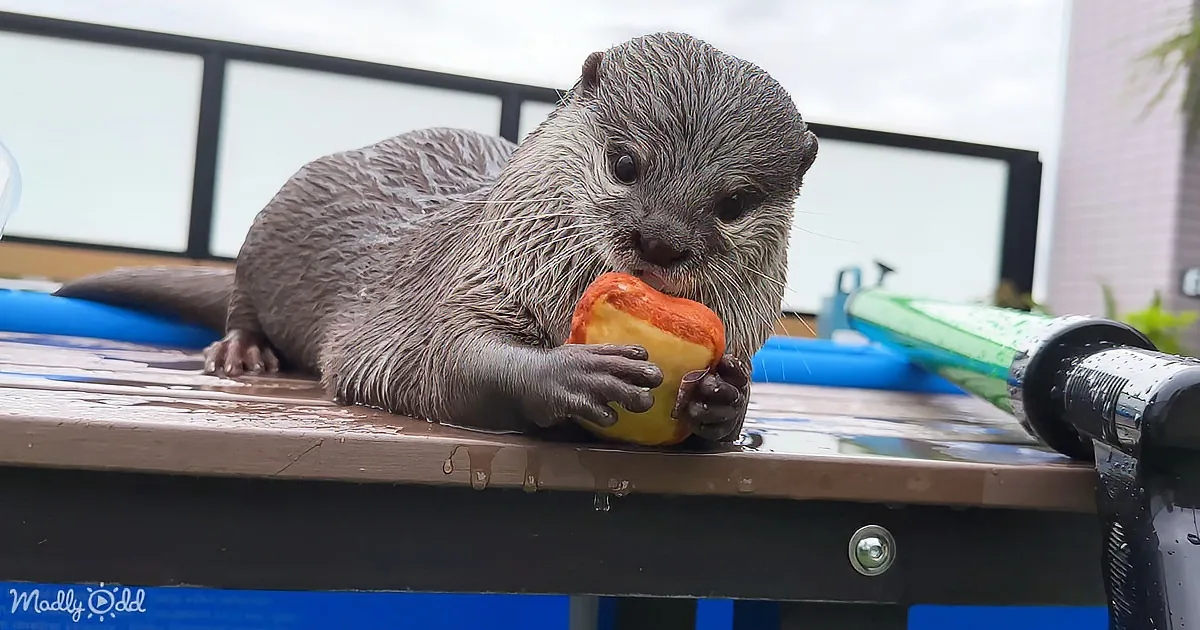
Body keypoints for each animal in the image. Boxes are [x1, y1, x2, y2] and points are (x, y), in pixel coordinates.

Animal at [55, 32, 819, 445]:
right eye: (625, 163)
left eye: (732, 203)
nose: (662, 241)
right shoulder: (457, 286)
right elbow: (434, 361)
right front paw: (570, 373)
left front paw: (726, 401)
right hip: (272, 225)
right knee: (242, 297)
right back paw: (242, 353)